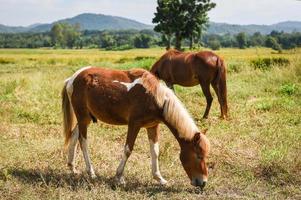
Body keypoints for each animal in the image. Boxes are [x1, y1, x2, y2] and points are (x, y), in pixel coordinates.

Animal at [61, 66, 210, 188]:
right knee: (83, 142)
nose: (203, 182)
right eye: (198, 155)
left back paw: (72, 167)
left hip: (85, 118)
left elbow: (155, 151)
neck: (154, 97)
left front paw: (159, 178)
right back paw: (91, 173)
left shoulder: (152, 126)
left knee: (74, 136)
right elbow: (128, 149)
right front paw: (119, 177)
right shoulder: (134, 124)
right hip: (83, 118)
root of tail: (72, 79)